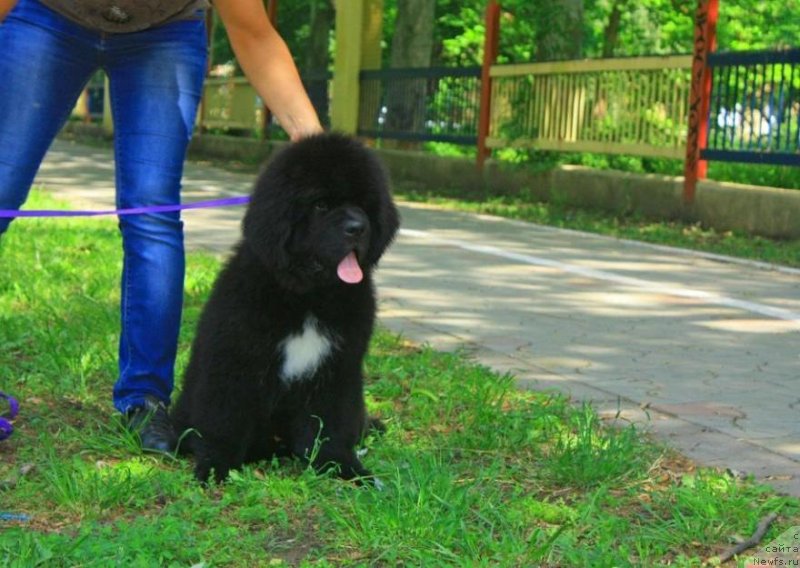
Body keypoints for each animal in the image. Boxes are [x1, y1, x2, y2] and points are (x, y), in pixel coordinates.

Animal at [175, 132, 400, 484]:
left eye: (363, 205)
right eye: (321, 205)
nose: (357, 227)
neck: (307, 298)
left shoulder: (336, 371)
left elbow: (330, 429)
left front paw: (344, 468)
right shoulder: (234, 364)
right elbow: (224, 422)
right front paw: (214, 467)